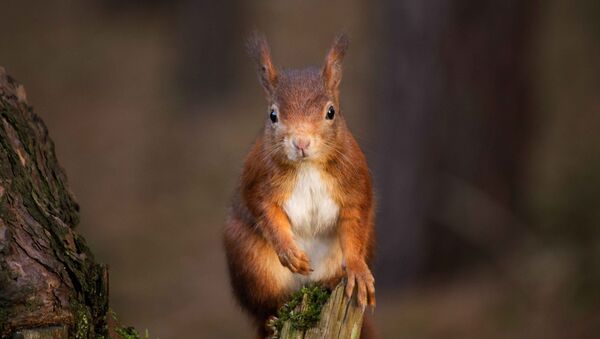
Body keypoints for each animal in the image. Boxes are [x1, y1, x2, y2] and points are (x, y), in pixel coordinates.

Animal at [225, 32, 376, 339]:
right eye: (272, 115)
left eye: (331, 112)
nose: (301, 142)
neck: (308, 167)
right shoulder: (258, 179)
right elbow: (265, 211)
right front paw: (289, 251)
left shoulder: (355, 184)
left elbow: (354, 225)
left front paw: (357, 269)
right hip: (250, 258)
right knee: (265, 306)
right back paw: (274, 314)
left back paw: (331, 283)